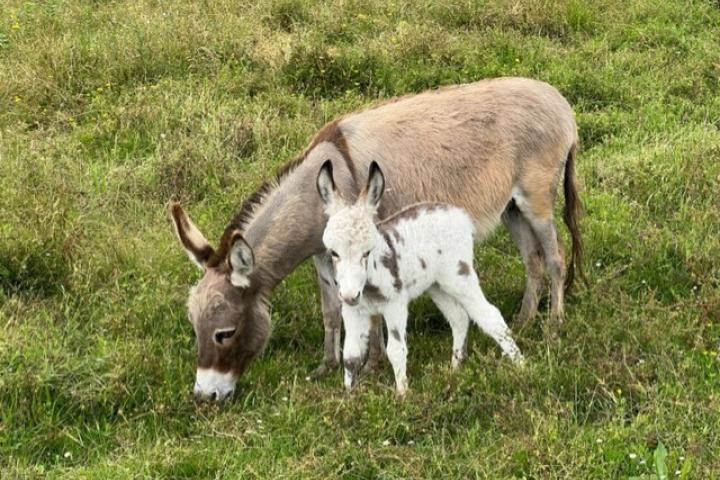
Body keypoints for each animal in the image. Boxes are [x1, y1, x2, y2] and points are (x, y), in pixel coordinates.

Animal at [316, 160, 524, 394]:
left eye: (367, 252)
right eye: (334, 252)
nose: (350, 295)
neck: (369, 284)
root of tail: (458, 214)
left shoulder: (395, 305)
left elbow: (396, 350)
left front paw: (402, 394)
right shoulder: (352, 311)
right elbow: (351, 356)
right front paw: (349, 395)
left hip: (459, 277)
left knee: (490, 316)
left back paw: (521, 367)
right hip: (436, 285)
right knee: (459, 318)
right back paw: (455, 369)